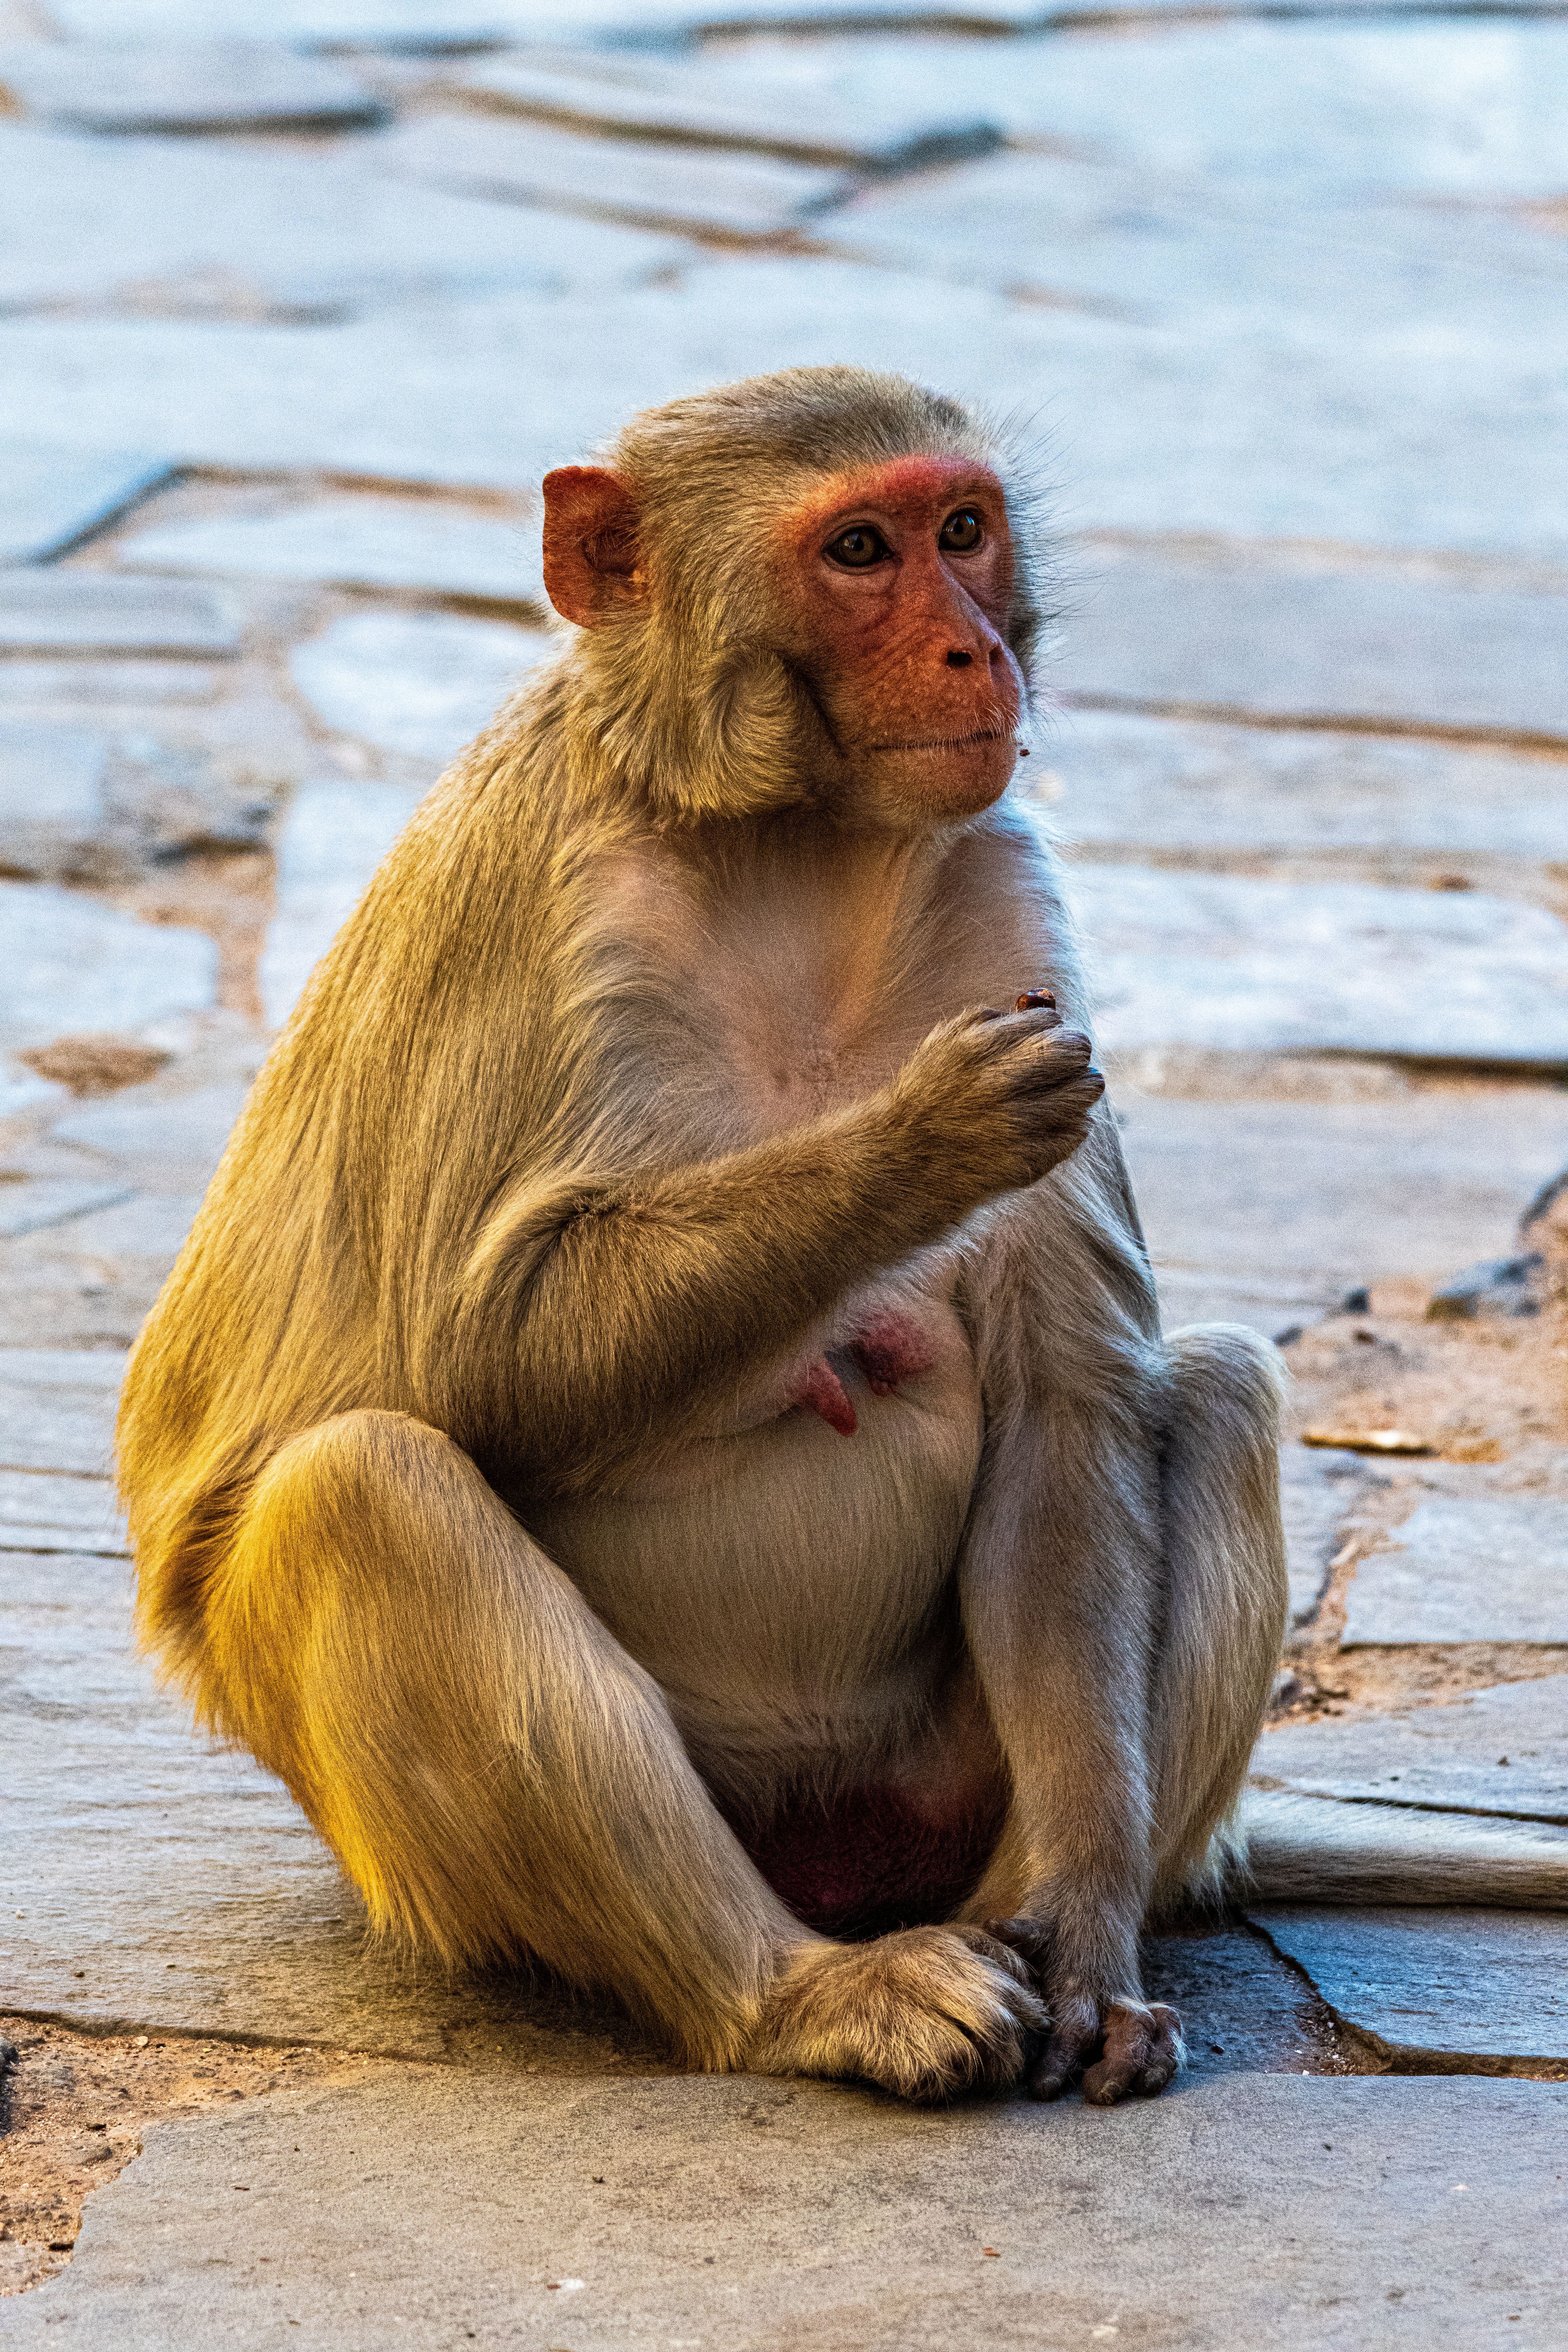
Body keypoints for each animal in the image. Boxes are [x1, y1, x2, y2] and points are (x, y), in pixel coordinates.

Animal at [117, 365, 1288, 2108]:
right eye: (858, 551)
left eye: (961, 529)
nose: (974, 648)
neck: (792, 840)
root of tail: (836, 1872)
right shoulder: (527, 904)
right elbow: (477, 1361)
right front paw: (914, 1143)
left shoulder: (1006, 891)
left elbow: (1070, 1410)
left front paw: (1083, 1947)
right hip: (442, 1880)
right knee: (367, 1491)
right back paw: (792, 1998)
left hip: (931, 1792)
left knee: (1209, 1391)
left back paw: (1022, 1920)